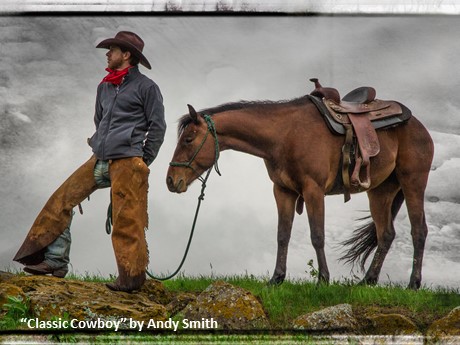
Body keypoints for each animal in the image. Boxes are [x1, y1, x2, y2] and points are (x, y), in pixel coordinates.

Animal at [166, 90, 434, 288]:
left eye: (188, 139)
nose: (170, 180)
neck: (285, 135)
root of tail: (418, 125)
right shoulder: (283, 191)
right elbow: (282, 235)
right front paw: (276, 279)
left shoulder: (313, 190)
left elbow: (317, 235)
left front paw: (323, 280)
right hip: (380, 192)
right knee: (385, 234)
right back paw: (368, 281)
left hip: (413, 183)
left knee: (419, 230)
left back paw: (413, 283)